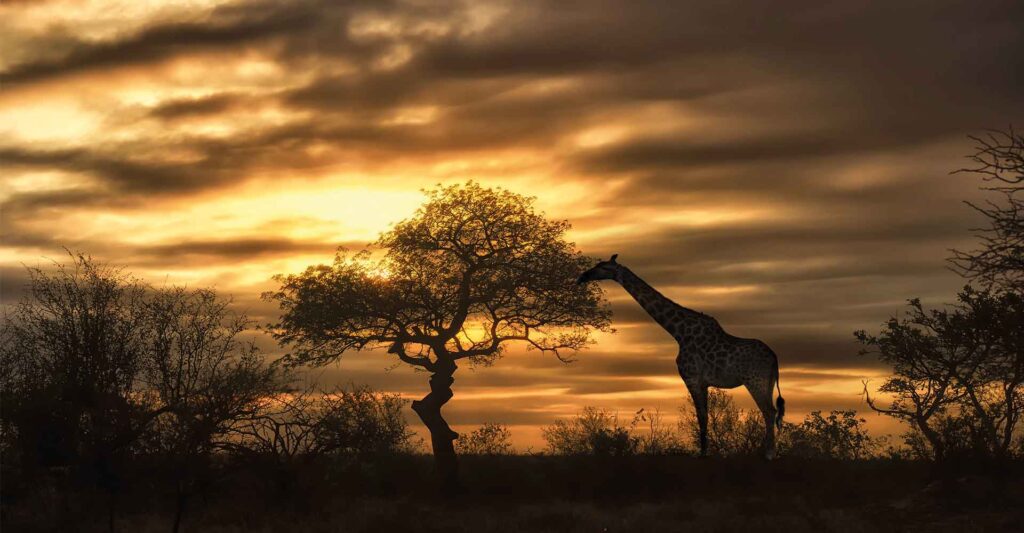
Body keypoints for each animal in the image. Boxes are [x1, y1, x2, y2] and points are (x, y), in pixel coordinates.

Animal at [577, 254, 785, 459]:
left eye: (603, 267)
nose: (582, 277)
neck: (679, 332)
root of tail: (774, 358)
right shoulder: (703, 382)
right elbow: (704, 415)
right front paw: (705, 452)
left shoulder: (691, 378)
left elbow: (701, 416)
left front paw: (703, 454)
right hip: (767, 382)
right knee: (773, 411)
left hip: (754, 380)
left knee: (768, 411)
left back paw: (769, 454)